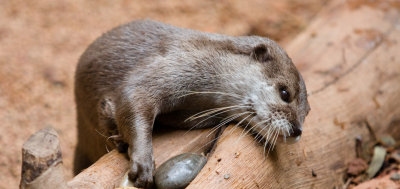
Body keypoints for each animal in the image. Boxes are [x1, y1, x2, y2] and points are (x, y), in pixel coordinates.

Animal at [73, 19, 310, 188]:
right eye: (285, 93)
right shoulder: (170, 65)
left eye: (306, 112)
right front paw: (142, 162)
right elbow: (133, 97)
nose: (297, 130)